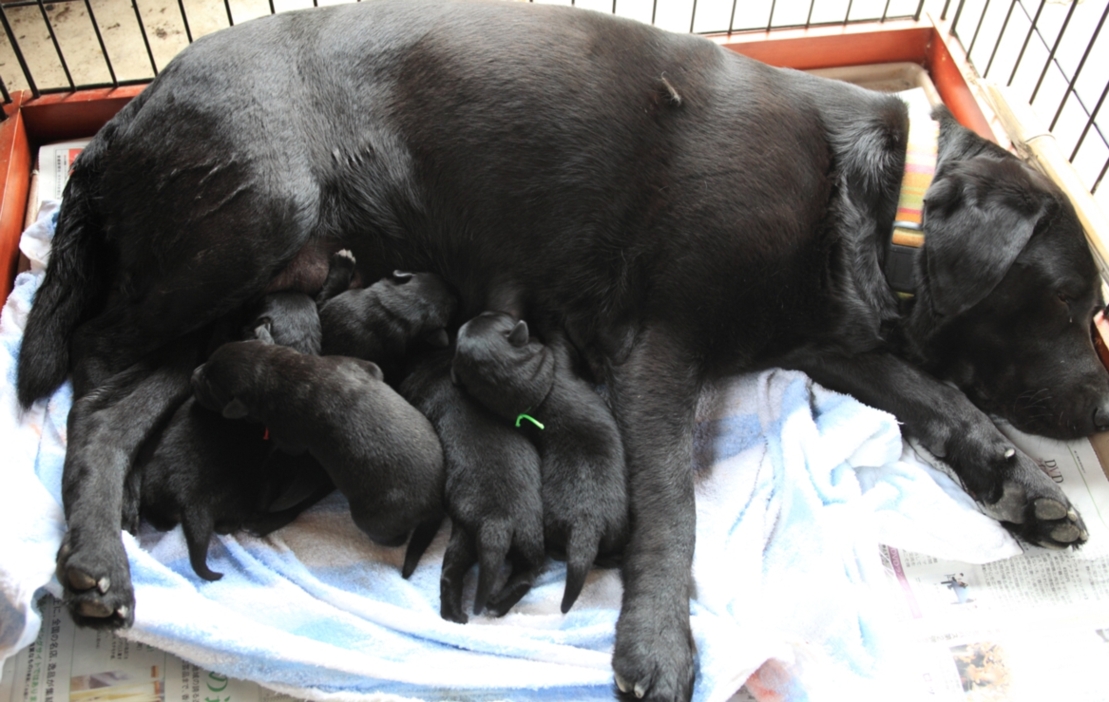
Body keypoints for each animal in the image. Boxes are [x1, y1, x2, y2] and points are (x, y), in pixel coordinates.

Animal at [191, 339, 445, 576]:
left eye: (208, 385)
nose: (193, 374)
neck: (273, 368)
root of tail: (435, 504)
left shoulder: (287, 434)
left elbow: (286, 447)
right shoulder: (356, 364)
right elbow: (373, 368)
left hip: (370, 517)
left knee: (394, 539)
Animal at [399, 352, 545, 621]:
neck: (437, 367)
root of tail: (498, 522)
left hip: (466, 534)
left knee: (450, 574)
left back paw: (456, 615)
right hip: (526, 536)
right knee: (527, 573)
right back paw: (494, 604)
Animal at [448, 312, 625, 612]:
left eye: (488, 317)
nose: (488, 312)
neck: (532, 397)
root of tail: (585, 526)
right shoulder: (559, 355)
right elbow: (560, 341)